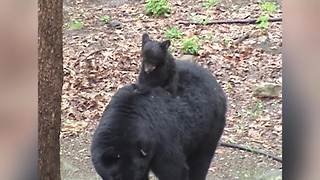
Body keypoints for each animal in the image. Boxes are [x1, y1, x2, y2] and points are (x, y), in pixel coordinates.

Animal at [91, 60, 226, 180]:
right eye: (115, 177)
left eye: (134, 176)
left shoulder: (161, 141)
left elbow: (174, 170)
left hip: (210, 127)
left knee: (200, 162)